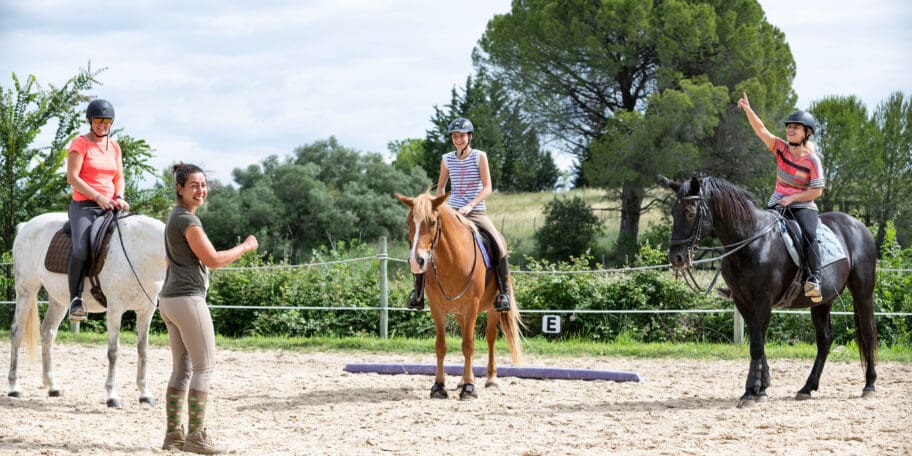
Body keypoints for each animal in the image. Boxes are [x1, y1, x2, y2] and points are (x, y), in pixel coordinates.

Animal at [8, 212, 166, 408]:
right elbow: (113, 351)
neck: (139, 251)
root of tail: (26, 226)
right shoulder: (115, 309)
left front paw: (144, 394)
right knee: (17, 332)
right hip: (26, 291)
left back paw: (52, 386)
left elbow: (143, 350)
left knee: (47, 332)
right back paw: (14, 387)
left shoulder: (146, 310)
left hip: (58, 300)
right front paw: (112, 396)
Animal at [396, 191, 523, 400]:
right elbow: (441, 345)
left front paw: (469, 388)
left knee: (490, 338)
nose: (416, 261)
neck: (451, 261)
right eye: (408, 222)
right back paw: (463, 379)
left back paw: (490, 378)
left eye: (432, 222)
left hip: (492, 308)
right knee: (465, 335)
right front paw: (439, 386)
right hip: (458, 312)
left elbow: (469, 346)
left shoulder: (472, 305)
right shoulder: (437, 308)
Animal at [659, 176, 877, 407]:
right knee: (825, 339)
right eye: (673, 212)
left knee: (868, 332)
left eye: (690, 212)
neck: (752, 242)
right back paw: (807, 388)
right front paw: (761, 388)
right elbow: (758, 341)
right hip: (821, 302)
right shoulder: (742, 301)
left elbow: (756, 343)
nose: (676, 257)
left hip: (862, 292)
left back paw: (869, 386)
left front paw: (749, 393)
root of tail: (858, 225)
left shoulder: (764, 299)